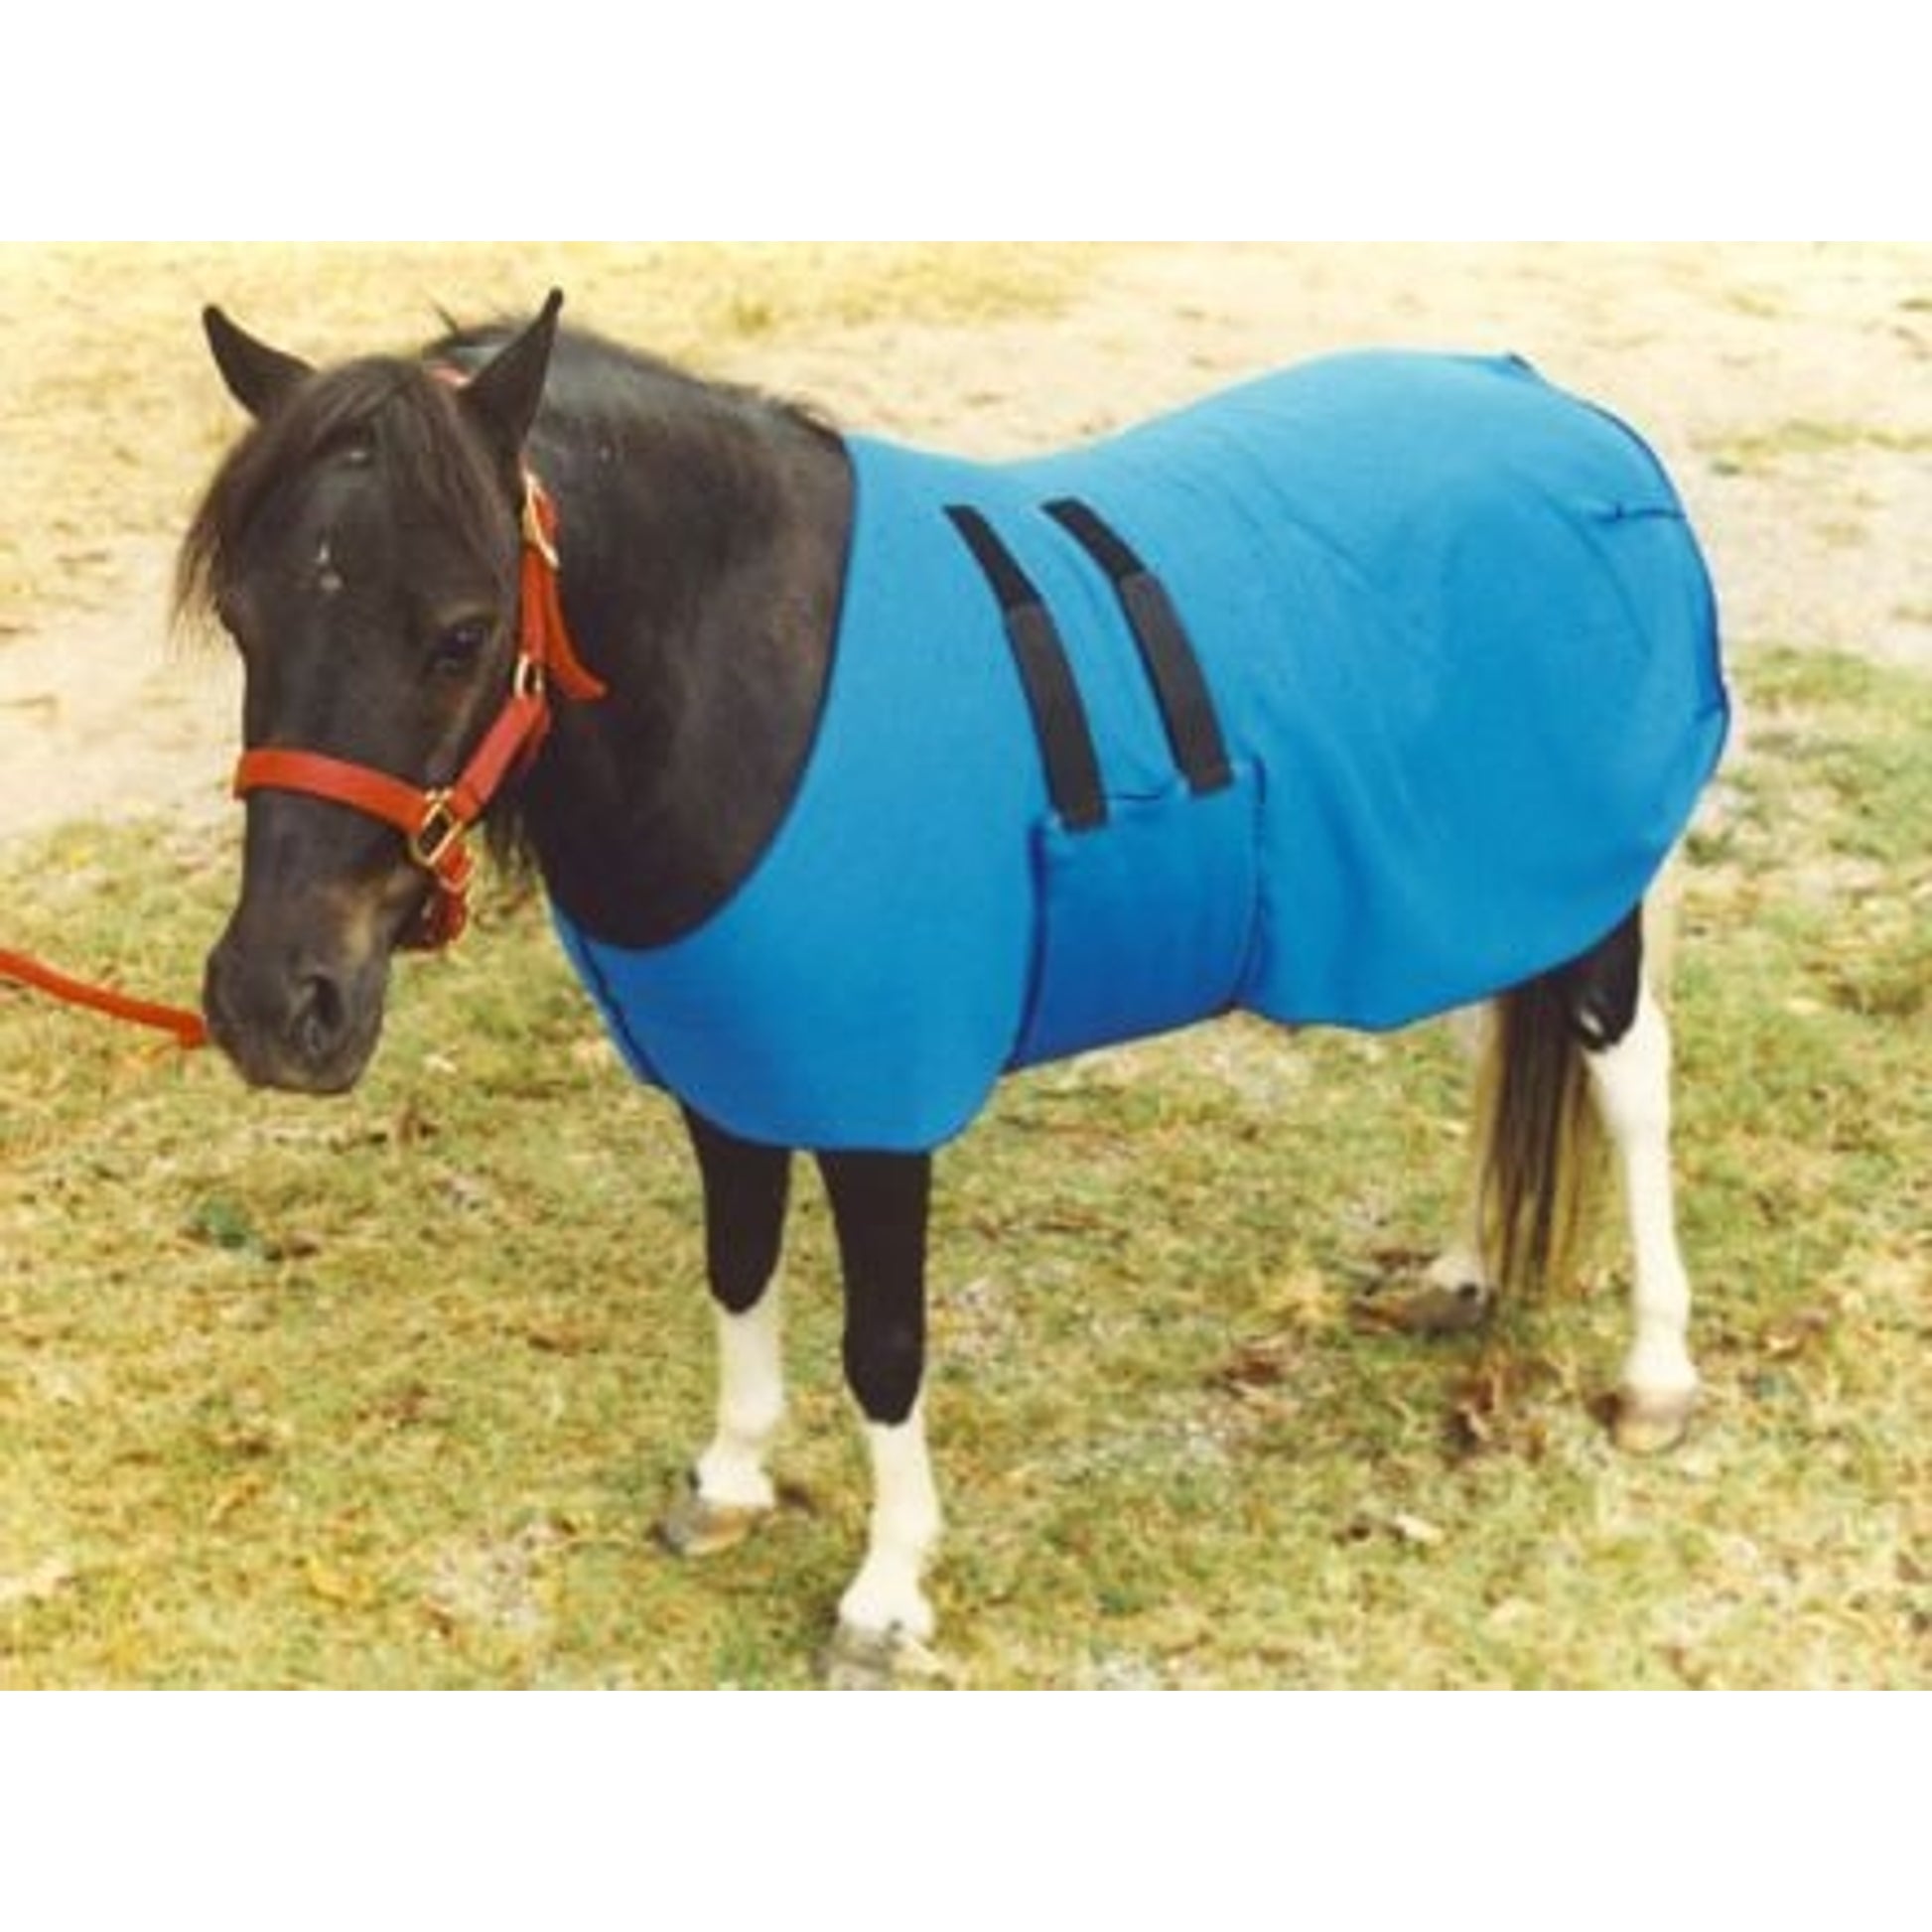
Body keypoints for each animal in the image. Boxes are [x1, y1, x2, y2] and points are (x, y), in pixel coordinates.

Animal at [179, 291, 1728, 1684]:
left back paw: (1655, 1374)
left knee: (1628, 1084)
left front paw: (885, 1593)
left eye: (458, 630)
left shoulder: (880, 1101)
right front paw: (731, 1480)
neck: (761, 684)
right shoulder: (728, 1065)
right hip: (1481, 885)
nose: (274, 1001)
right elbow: (737, 1266)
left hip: (1589, 897)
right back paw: (1461, 1273)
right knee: (1496, 1036)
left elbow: (883, 1342)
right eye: (244, 619)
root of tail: (1564, 414)